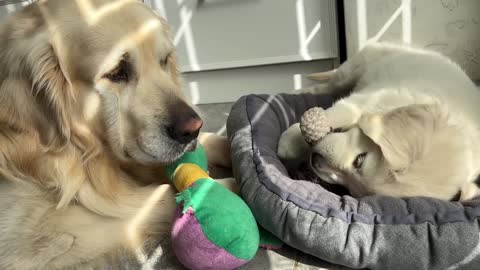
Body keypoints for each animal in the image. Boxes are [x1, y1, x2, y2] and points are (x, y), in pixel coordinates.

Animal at [280, 43, 480, 201]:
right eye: (360, 160)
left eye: (351, 190)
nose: (315, 160)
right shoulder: (370, 99)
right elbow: (340, 111)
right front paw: (290, 141)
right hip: (352, 69)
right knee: (327, 85)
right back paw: (296, 91)